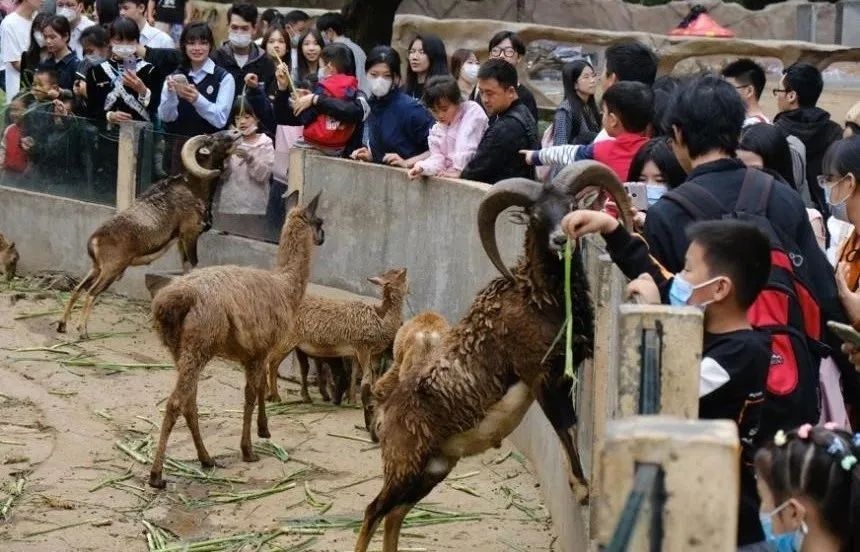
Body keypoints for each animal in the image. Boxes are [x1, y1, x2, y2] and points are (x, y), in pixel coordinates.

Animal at [57, 129, 241, 338]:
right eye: (214, 139)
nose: (236, 132)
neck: (194, 189)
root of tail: (94, 240)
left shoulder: (181, 241)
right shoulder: (190, 235)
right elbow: (194, 265)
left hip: (96, 268)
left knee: (77, 289)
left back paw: (62, 326)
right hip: (111, 271)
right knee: (91, 293)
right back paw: (83, 332)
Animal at [147, 191, 324, 489]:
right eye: (320, 222)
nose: (322, 237)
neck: (286, 286)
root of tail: (174, 300)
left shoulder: (255, 351)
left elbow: (260, 387)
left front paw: (264, 430)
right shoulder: (262, 348)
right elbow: (251, 394)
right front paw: (248, 449)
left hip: (179, 348)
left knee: (189, 402)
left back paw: (206, 458)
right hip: (200, 343)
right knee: (176, 402)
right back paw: (157, 475)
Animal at [267, 268, 408, 430]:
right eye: (399, 275)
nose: (405, 269)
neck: (381, 321)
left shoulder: (357, 352)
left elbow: (356, 374)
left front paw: (352, 400)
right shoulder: (363, 348)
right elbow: (366, 379)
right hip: (288, 340)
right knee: (272, 363)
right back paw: (275, 397)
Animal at [354, 161, 632, 552]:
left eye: (571, 204)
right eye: (535, 215)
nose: (561, 240)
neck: (538, 299)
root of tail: (386, 413)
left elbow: (571, 426)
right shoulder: (540, 378)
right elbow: (566, 426)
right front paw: (581, 490)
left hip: (432, 471)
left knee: (394, 515)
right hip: (406, 467)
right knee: (373, 512)